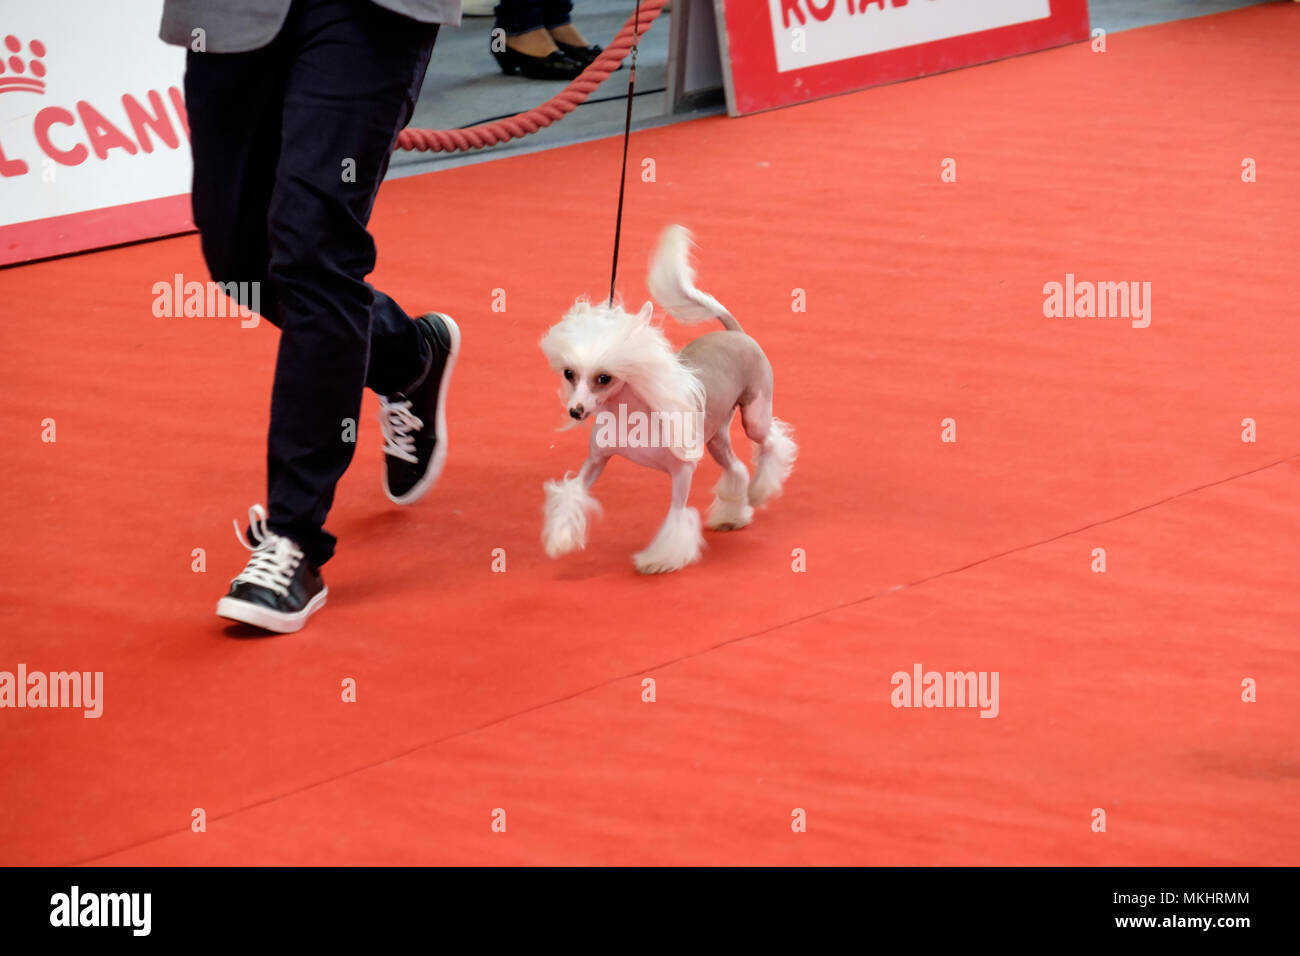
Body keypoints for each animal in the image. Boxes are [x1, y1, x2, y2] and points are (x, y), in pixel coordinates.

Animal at [535, 223, 790, 572]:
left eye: (604, 378)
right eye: (569, 373)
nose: (576, 411)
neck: (629, 414)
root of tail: (736, 333)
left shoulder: (682, 472)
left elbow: (677, 516)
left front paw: (657, 560)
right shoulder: (597, 460)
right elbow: (573, 492)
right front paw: (560, 539)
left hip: (754, 415)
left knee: (771, 441)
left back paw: (760, 491)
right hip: (715, 439)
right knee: (736, 468)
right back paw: (731, 516)